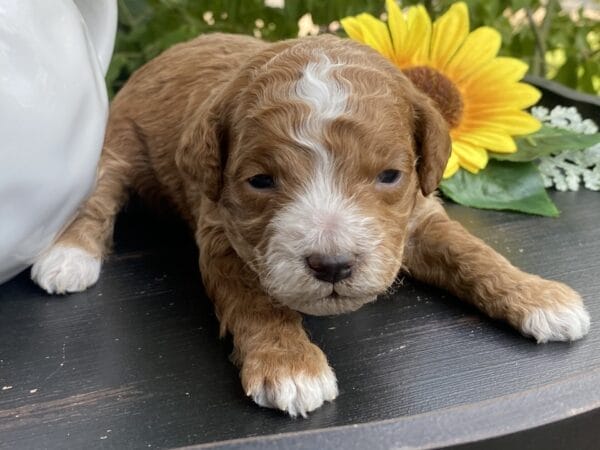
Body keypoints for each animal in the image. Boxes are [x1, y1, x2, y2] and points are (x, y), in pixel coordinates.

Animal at [31, 33, 592, 416]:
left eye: (390, 175)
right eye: (261, 181)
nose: (333, 266)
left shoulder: (419, 214)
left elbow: (472, 251)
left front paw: (537, 296)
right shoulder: (224, 235)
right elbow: (255, 301)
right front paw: (291, 367)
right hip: (119, 142)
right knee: (98, 196)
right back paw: (69, 258)